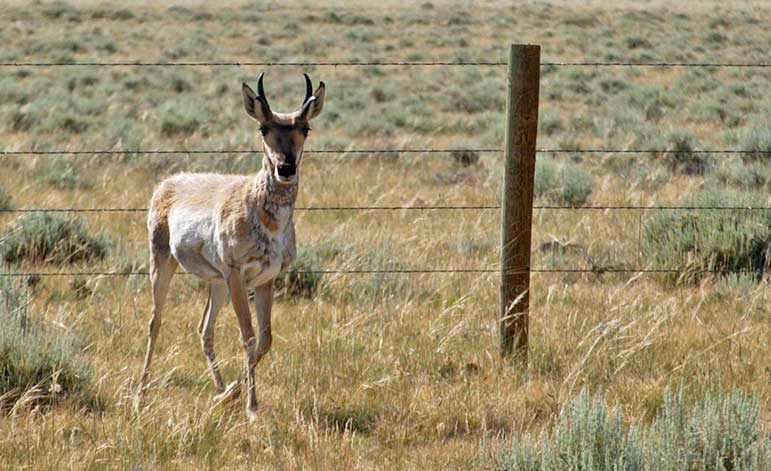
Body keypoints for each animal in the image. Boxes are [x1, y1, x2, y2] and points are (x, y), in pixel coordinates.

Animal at [137, 73, 324, 420]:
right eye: (263, 128)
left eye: (305, 128)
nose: (285, 168)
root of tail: (169, 183)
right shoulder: (238, 275)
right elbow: (248, 337)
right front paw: (252, 407)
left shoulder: (265, 280)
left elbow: (265, 339)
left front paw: (230, 397)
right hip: (164, 265)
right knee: (155, 322)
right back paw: (140, 395)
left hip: (217, 283)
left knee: (203, 329)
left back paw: (219, 390)